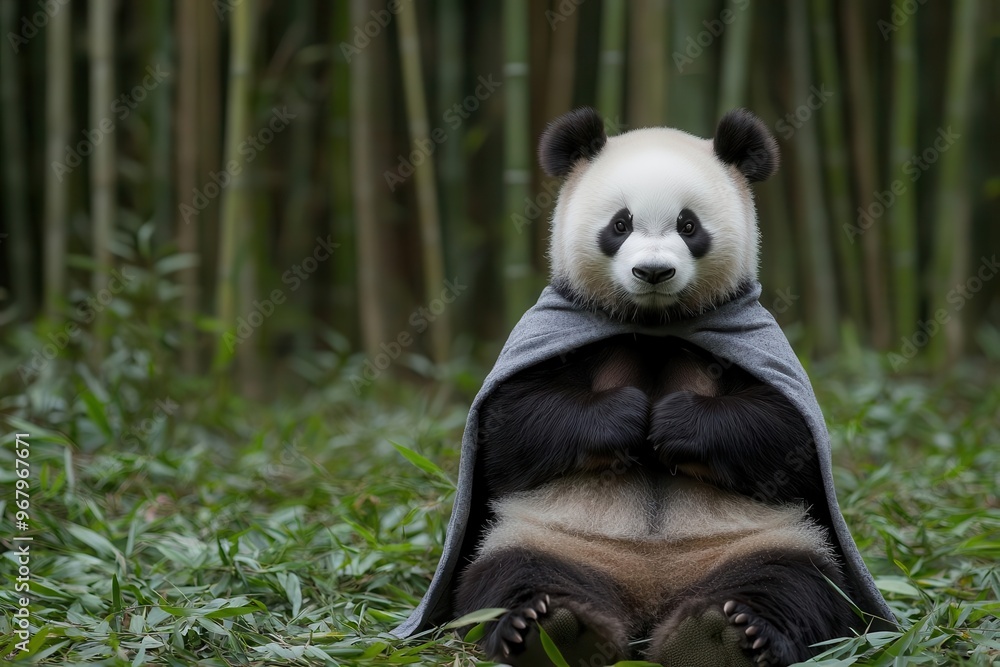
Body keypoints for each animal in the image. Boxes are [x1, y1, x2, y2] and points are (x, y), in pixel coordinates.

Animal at [451, 109, 861, 667]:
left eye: (689, 226)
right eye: (620, 224)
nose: (652, 271)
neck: (652, 323)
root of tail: (650, 591)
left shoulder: (758, 350)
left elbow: (787, 439)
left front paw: (672, 422)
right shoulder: (553, 334)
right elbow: (510, 433)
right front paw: (625, 417)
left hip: (768, 536)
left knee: (795, 581)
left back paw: (721, 634)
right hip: (544, 535)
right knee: (507, 575)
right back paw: (550, 627)